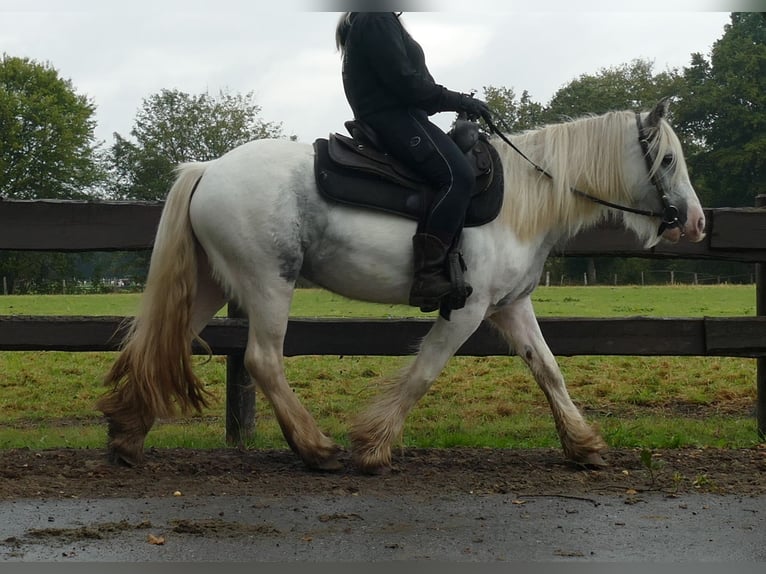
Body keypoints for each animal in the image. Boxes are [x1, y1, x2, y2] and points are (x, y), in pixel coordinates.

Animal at [96, 99, 708, 474]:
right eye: (667, 160)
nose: (697, 223)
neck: (519, 200)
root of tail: (208, 168)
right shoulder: (466, 310)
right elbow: (424, 373)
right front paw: (372, 447)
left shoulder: (511, 307)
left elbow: (549, 370)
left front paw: (584, 446)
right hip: (269, 283)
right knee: (262, 360)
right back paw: (316, 448)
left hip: (209, 283)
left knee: (161, 344)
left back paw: (127, 433)